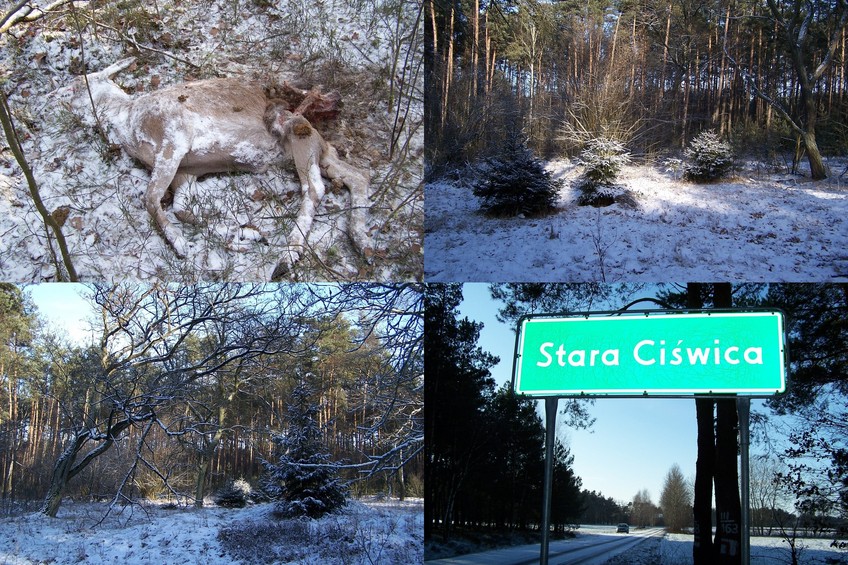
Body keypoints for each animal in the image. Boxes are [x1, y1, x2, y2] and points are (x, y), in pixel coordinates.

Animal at [54, 56, 370, 278]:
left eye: (78, 85)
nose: (57, 100)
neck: (128, 120)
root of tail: (321, 140)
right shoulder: (186, 172)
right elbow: (183, 209)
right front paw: (245, 236)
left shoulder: (174, 138)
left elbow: (150, 199)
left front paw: (180, 244)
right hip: (316, 152)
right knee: (357, 176)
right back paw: (362, 242)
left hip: (297, 132)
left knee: (315, 188)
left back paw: (286, 258)